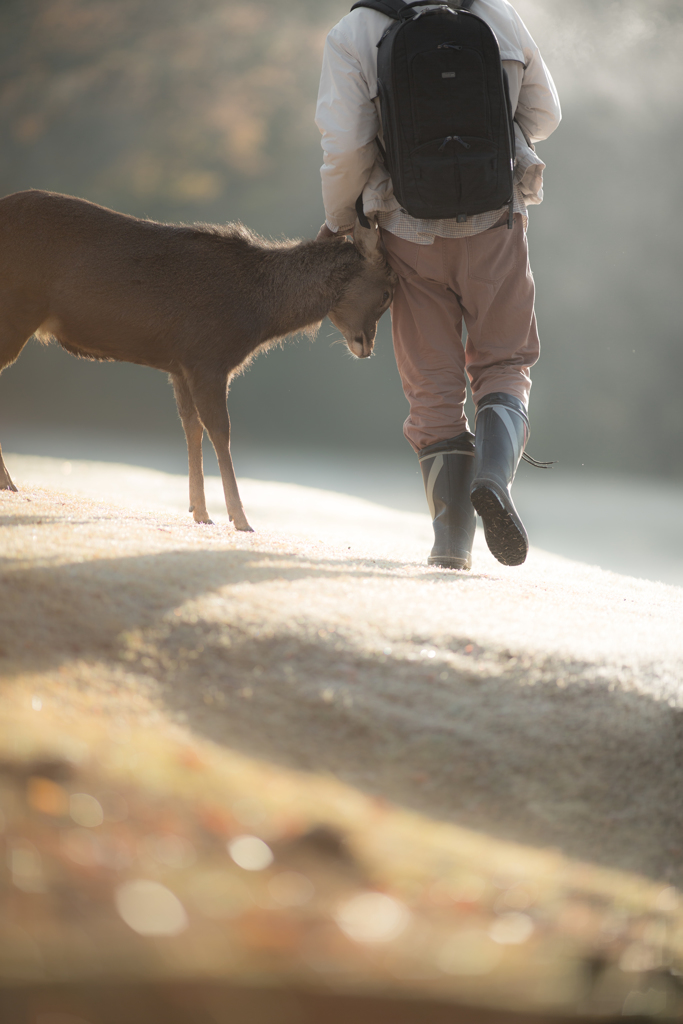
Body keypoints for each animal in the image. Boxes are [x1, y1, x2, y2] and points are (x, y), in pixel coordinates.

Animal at [0, 187, 395, 532]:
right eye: (388, 294)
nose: (366, 346)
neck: (258, 313)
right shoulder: (209, 358)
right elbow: (221, 431)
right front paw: (240, 519)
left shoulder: (180, 363)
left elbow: (191, 427)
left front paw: (200, 511)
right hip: (16, 309)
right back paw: (9, 482)